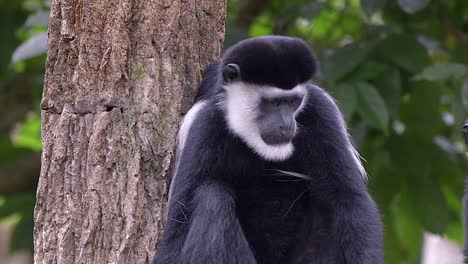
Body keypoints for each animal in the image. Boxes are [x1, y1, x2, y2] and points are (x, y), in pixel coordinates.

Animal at [155, 35, 382, 264]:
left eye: (293, 102)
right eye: (273, 103)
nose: (287, 126)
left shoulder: (321, 111)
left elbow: (347, 197)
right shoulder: (205, 127)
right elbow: (178, 225)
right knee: (212, 195)